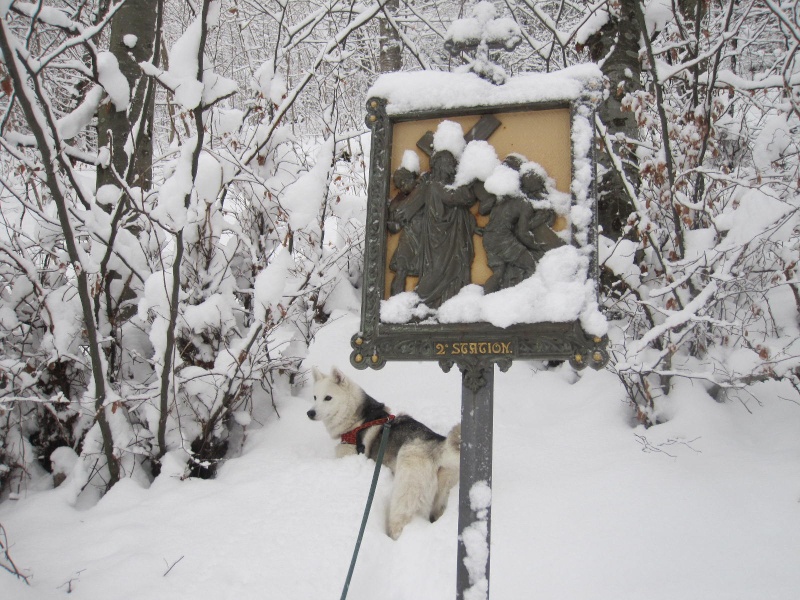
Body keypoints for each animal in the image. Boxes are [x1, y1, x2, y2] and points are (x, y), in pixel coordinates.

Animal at [310, 366, 462, 540]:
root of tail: (438, 446)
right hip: (441, 496)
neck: (359, 420)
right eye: (314, 397)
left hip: (404, 492)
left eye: (328, 398)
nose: (310, 413)